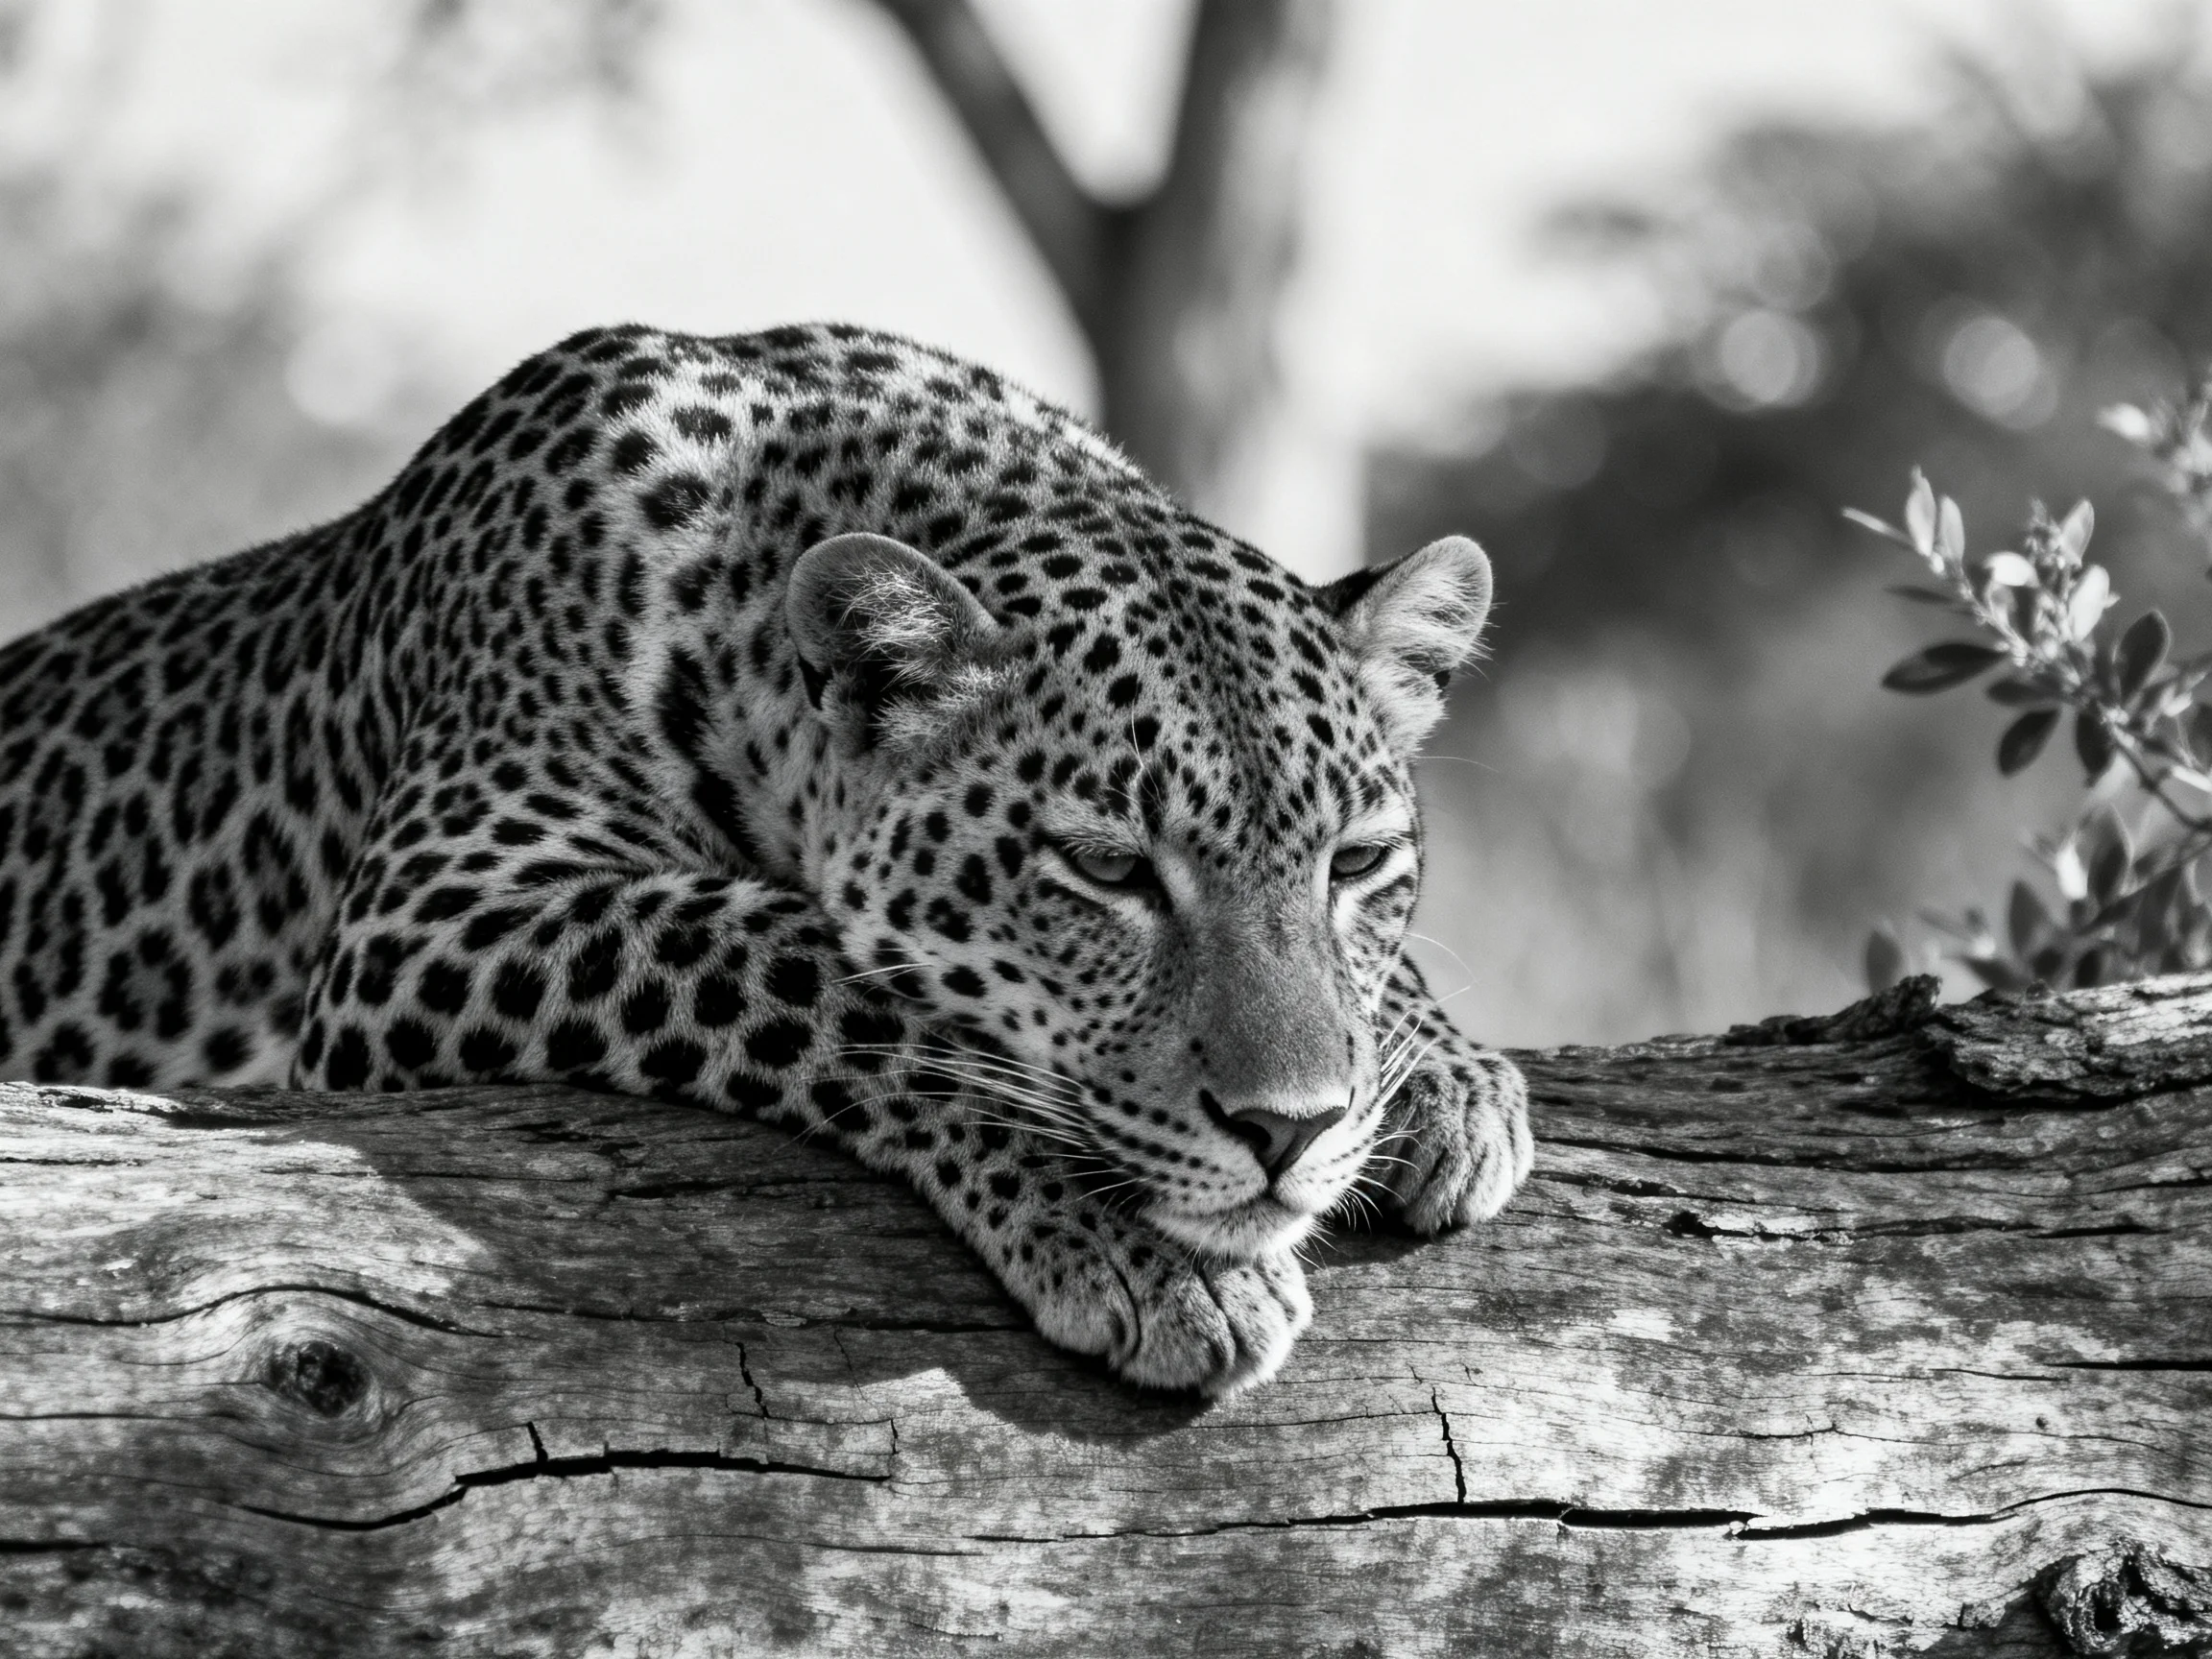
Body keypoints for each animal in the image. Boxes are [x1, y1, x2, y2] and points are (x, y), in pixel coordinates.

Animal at [0, 322, 1531, 1395]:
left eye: (1356, 864)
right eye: (1106, 870)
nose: (1292, 1132)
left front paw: (1447, 1080)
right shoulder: (432, 915)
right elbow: (808, 962)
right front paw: (1142, 1249)